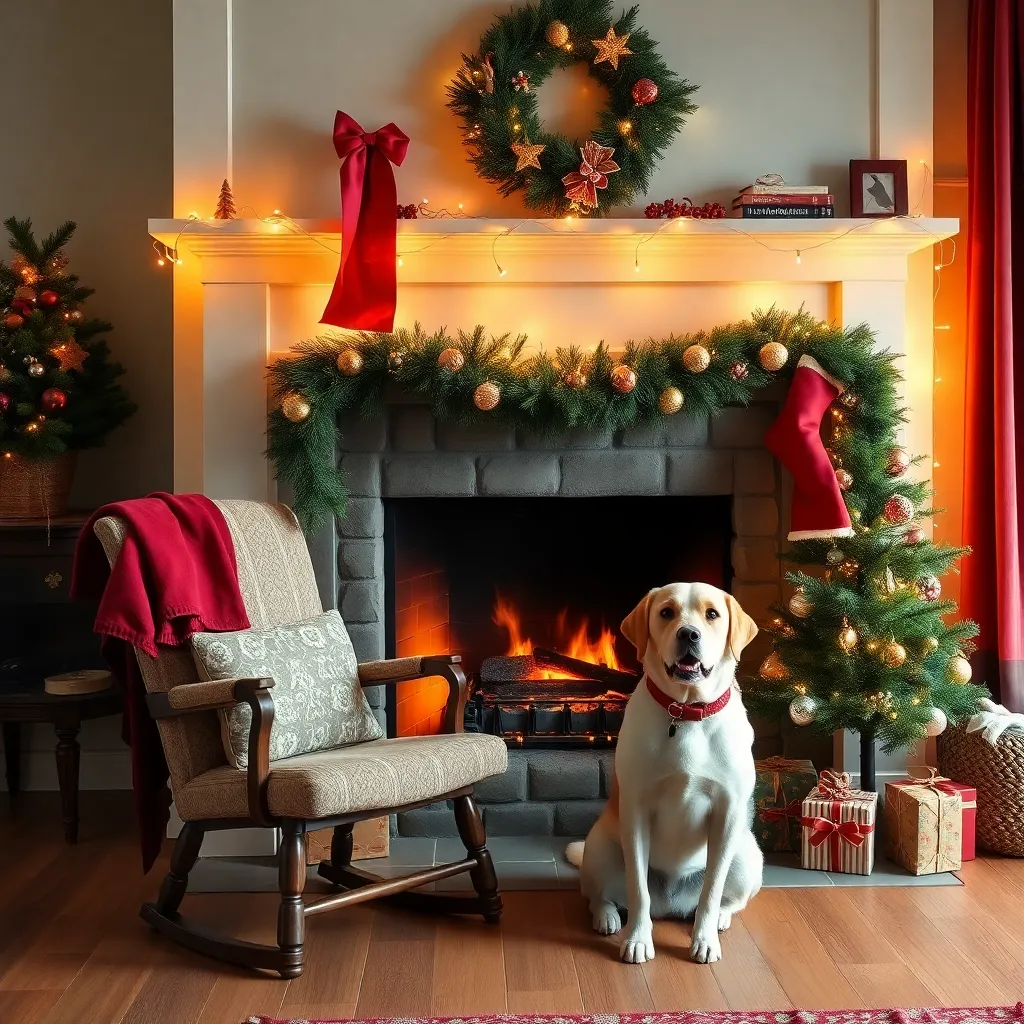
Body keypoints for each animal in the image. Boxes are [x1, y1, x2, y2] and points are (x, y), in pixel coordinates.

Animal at [569, 585, 761, 966]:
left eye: (712, 614)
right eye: (666, 613)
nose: (689, 634)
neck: (686, 713)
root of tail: (670, 904)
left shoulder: (728, 813)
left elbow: (712, 890)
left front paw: (705, 940)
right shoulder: (636, 813)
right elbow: (637, 890)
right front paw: (638, 940)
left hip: (747, 855)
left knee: (730, 899)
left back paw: (719, 919)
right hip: (600, 846)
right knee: (599, 895)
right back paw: (607, 917)